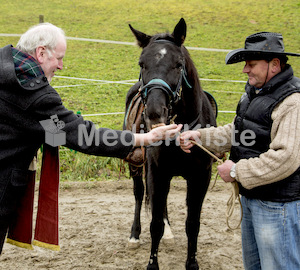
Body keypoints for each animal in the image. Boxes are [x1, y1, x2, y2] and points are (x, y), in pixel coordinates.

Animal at [123, 17, 217, 268]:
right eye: (141, 63)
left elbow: (192, 224)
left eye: (178, 64)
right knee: (139, 194)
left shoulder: (200, 177)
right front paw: (152, 264)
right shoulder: (157, 171)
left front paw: (192, 263)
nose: (155, 113)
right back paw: (134, 235)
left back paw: (168, 231)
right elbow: (154, 224)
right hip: (137, 166)